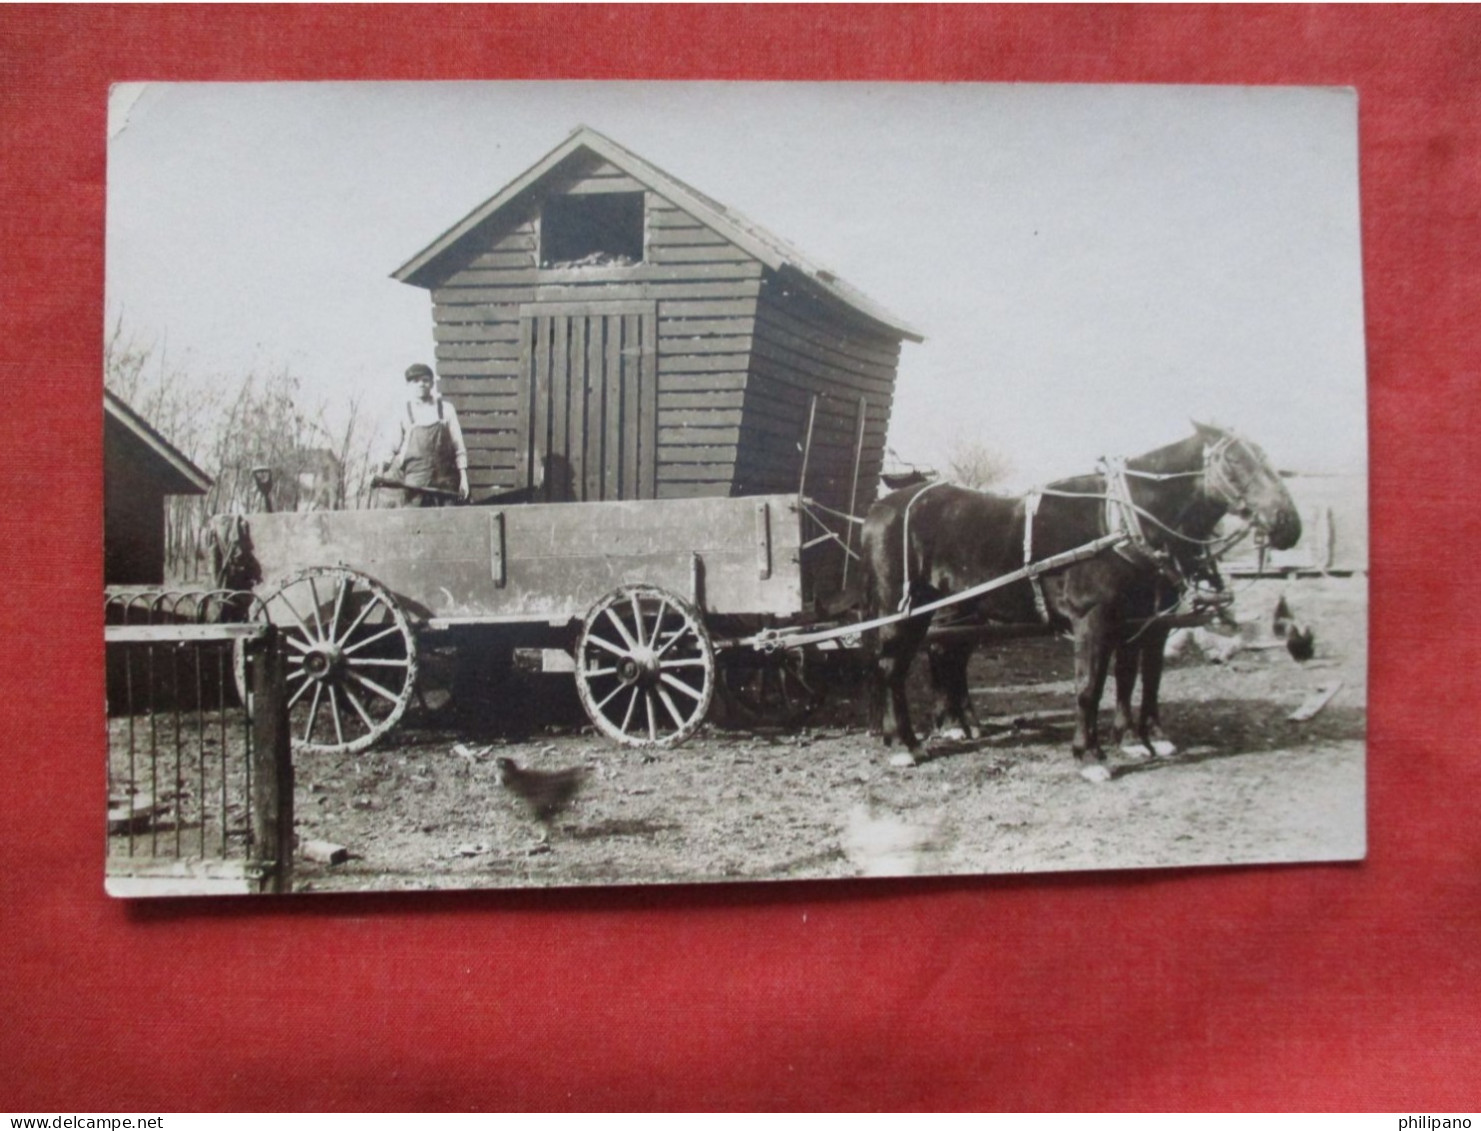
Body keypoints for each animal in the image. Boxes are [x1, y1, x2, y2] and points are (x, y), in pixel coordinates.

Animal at [864, 420, 1303, 781]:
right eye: (1234, 461)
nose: (1288, 525)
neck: (1121, 521)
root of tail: (880, 508)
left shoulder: (1141, 621)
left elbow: (1136, 679)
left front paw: (1139, 740)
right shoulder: (1094, 619)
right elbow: (1090, 686)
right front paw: (1090, 756)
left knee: (934, 658)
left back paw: (936, 729)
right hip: (904, 607)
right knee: (893, 667)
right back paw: (905, 744)